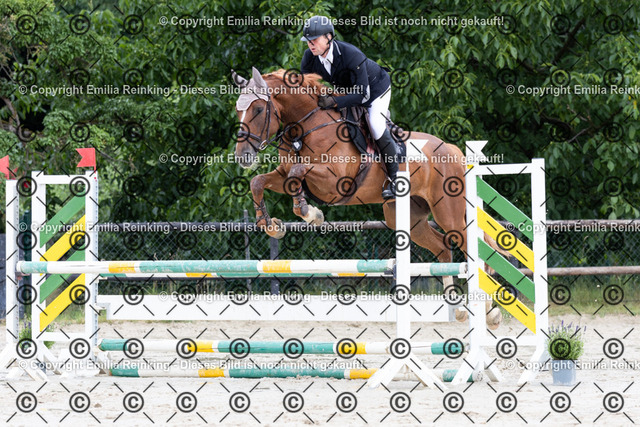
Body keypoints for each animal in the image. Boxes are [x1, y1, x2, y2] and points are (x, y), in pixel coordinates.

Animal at [232, 67, 501, 327]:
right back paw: (458, 308)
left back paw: (490, 313)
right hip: (408, 218)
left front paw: (310, 213)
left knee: (473, 249)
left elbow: (298, 172)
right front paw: (271, 225)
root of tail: (452, 149)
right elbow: (260, 181)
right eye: (238, 110)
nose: (242, 156)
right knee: (443, 249)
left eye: (258, 109)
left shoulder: (336, 181)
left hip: (448, 213)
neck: (306, 126)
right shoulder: (283, 174)